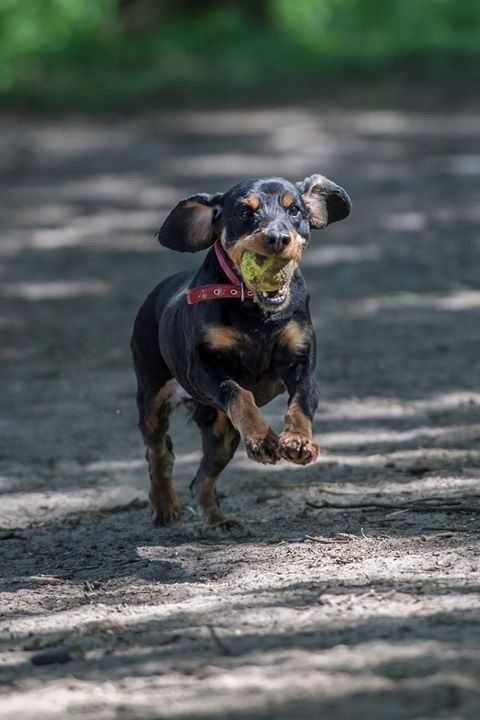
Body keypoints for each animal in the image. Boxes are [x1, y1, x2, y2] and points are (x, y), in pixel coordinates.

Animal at [129, 174, 350, 528]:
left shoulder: (301, 362)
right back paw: (164, 505)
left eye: (295, 210)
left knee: (200, 478)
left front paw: (298, 441)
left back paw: (217, 520)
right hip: (152, 395)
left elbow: (301, 402)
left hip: (221, 432)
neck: (256, 312)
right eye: (246, 212)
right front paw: (262, 441)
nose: (277, 238)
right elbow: (238, 393)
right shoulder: (203, 369)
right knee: (158, 453)